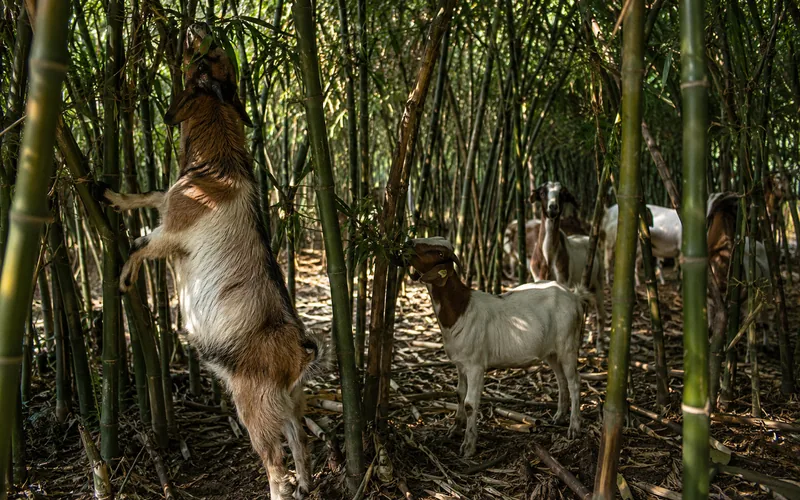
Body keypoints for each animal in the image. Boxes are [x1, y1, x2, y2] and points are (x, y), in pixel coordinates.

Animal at [96, 24, 322, 499]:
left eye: (211, 53)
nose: (197, 26)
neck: (217, 162)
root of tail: (297, 353)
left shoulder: (174, 232)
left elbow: (141, 245)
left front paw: (123, 280)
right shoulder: (169, 202)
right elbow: (149, 195)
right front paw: (110, 195)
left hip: (254, 407)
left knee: (275, 465)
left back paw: (280, 489)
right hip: (291, 404)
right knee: (300, 444)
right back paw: (308, 484)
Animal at [405, 237, 588, 457]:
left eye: (439, 253)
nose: (408, 242)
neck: (460, 309)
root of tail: (574, 297)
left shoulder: (475, 365)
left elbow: (469, 403)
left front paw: (468, 446)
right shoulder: (460, 363)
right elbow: (459, 394)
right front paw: (455, 429)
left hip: (568, 344)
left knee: (574, 382)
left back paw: (574, 427)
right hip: (551, 351)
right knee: (561, 380)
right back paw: (559, 416)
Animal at [529, 182, 606, 351]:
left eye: (563, 194)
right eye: (542, 193)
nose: (553, 207)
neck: (549, 257)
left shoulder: (563, 279)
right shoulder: (538, 278)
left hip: (598, 281)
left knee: (599, 313)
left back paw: (599, 345)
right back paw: (587, 339)